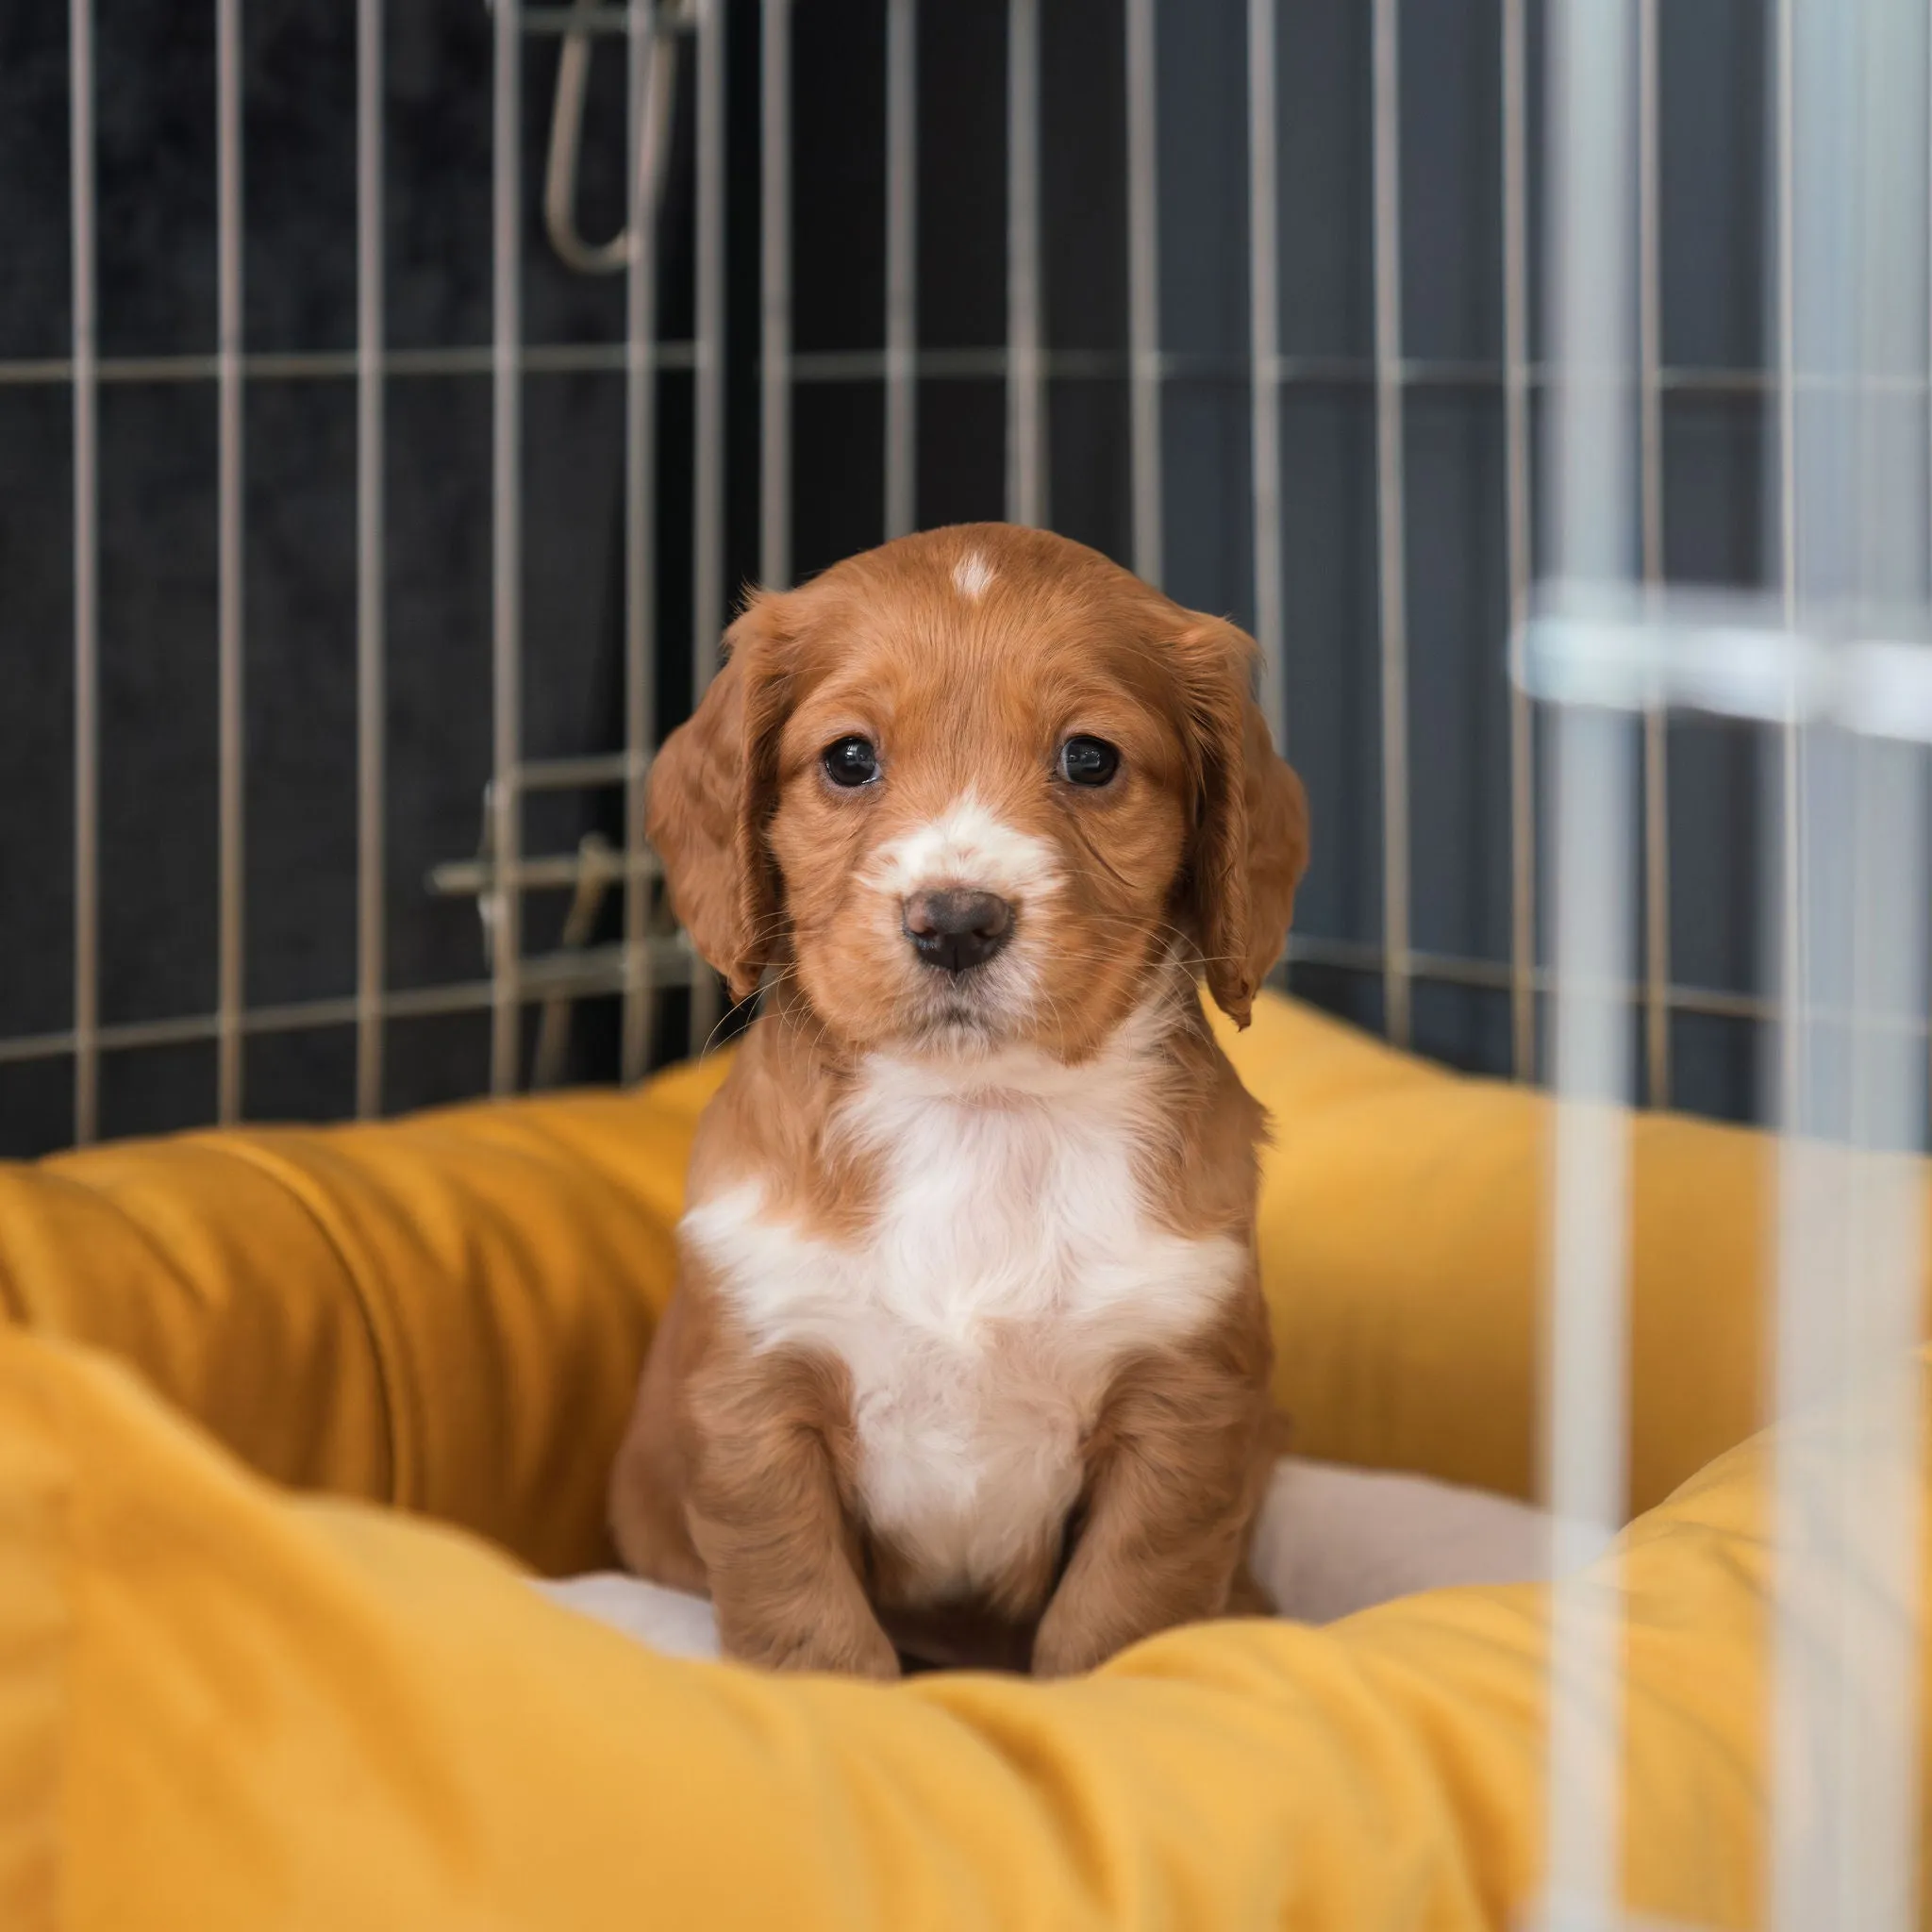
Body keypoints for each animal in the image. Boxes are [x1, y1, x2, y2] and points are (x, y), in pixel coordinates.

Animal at [610, 525, 1313, 1676]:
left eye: (1090, 758)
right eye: (849, 758)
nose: (954, 922)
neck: (982, 1115)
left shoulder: (1183, 1400)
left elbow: (1117, 1608)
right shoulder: (757, 1392)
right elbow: (804, 1612)